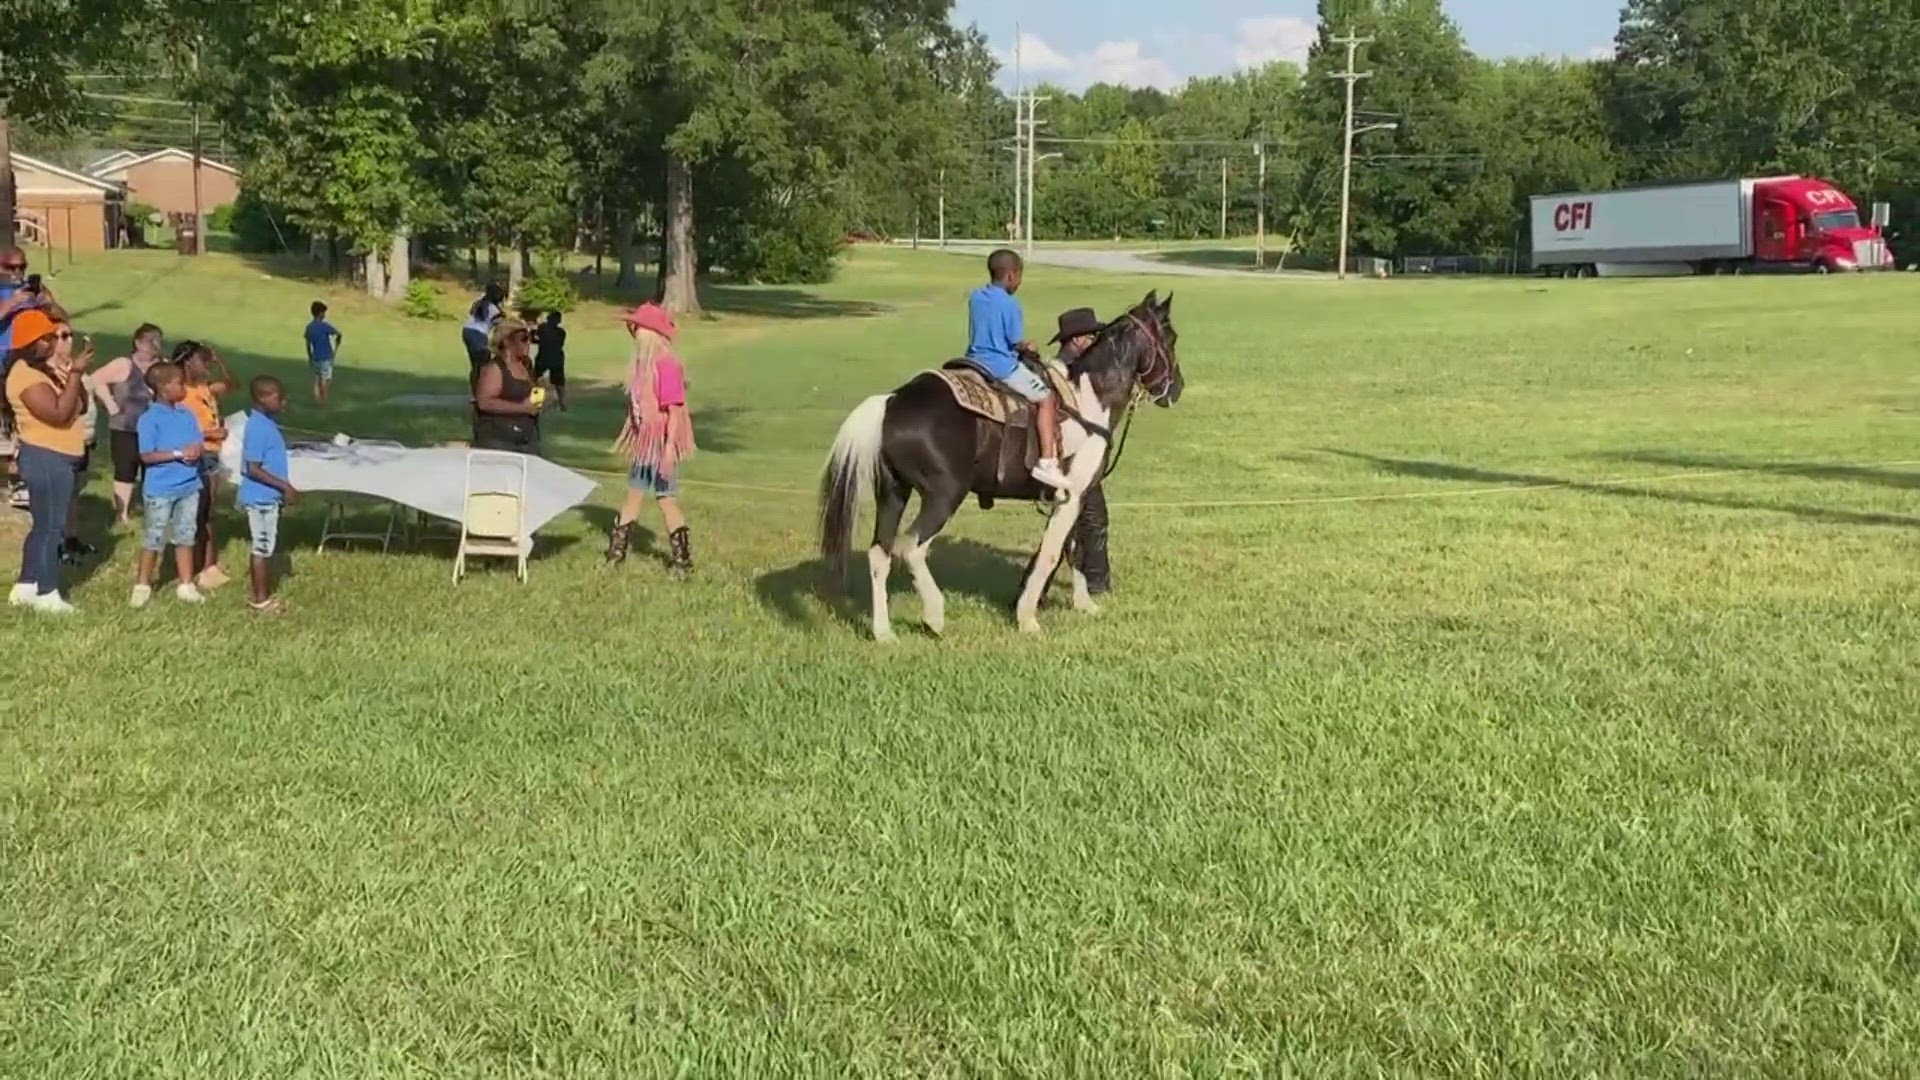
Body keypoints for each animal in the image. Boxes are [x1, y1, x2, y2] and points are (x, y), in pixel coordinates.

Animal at [814, 288, 1175, 638]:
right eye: (1171, 337)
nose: (1176, 389)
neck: (1088, 399)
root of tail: (891, 402)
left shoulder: (1073, 498)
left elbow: (1072, 548)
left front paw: (1084, 604)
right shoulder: (1075, 494)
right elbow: (1053, 552)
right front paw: (1027, 618)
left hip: (893, 492)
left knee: (881, 553)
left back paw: (884, 632)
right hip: (944, 495)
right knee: (911, 548)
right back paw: (935, 617)